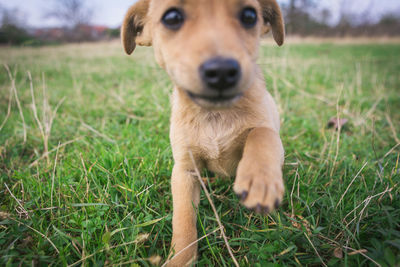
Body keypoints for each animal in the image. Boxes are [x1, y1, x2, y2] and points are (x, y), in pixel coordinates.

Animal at [121, 1, 284, 266]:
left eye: (250, 16)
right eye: (172, 17)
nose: (222, 71)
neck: (214, 115)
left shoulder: (268, 130)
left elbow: (261, 135)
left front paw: (260, 179)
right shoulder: (185, 170)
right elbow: (183, 219)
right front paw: (180, 259)